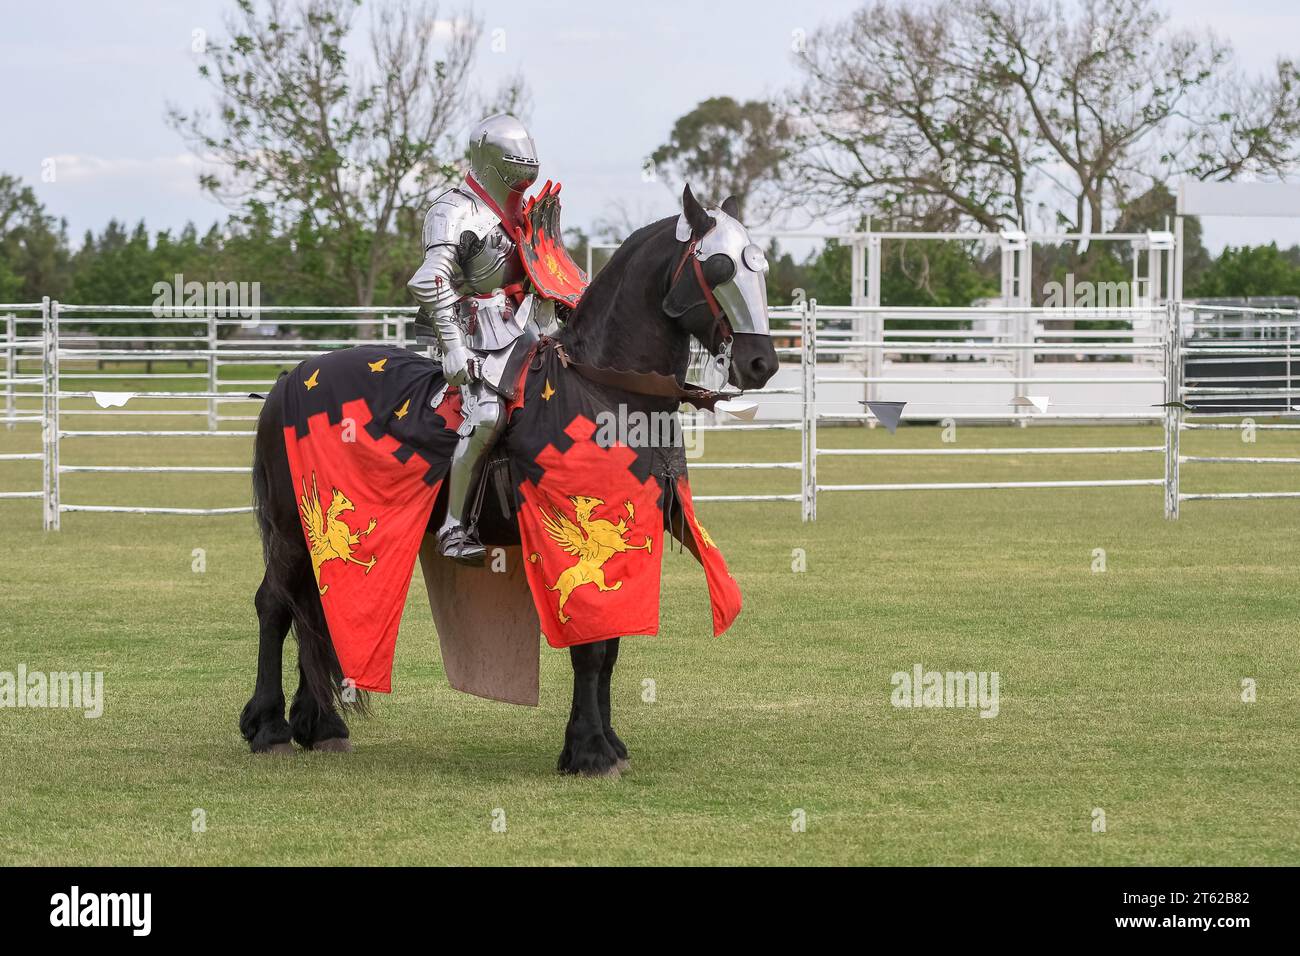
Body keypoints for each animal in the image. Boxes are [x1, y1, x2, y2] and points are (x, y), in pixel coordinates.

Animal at [239, 187, 774, 780]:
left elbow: (609, 646)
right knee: (276, 605)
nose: (762, 363)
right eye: (720, 267)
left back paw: (322, 726)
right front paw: (590, 752)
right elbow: (589, 647)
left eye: (762, 267)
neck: (602, 388)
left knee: (313, 608)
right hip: (293, 529)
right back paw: (269, 727)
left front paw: (605, 745)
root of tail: (286, 379)